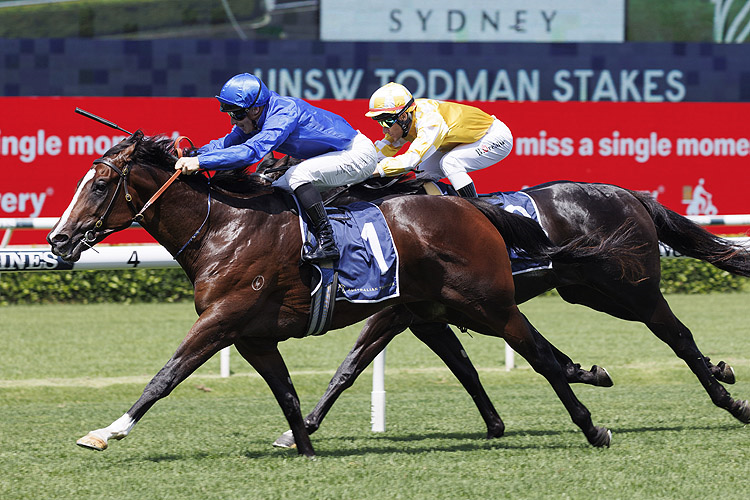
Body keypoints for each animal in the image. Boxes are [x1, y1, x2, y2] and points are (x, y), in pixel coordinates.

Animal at [47, 133, 648, 458]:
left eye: (99, 184)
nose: (58, 240)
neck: (224, 228)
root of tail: (470, 207)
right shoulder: (253, 337)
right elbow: (289, 393)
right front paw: (305, 448)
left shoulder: (221, 320)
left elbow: (166, 375)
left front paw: (106, 432)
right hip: (447, 306)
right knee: (524, 355)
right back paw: (585, 386)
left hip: (491, 303)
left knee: (541, 357)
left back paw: (593, 424)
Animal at [268, 163, 750, 446]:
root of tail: (629, 195)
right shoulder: (427, 316)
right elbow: (464, 367)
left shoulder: (400, 309)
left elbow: (350, 366)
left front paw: (301, 428)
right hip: (589, 291)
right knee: (677, 335)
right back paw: (720, 371)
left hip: (633, 289)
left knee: (678, 335)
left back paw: (729, 400)